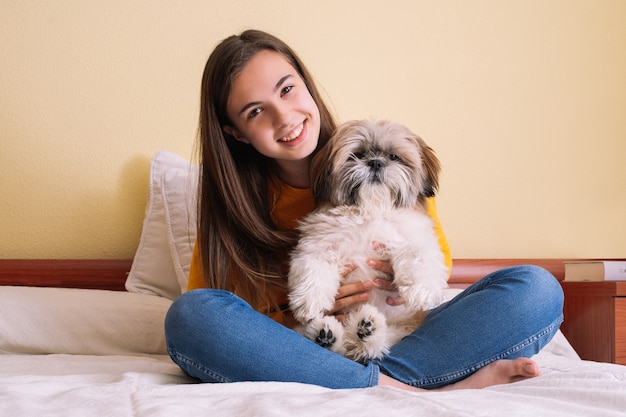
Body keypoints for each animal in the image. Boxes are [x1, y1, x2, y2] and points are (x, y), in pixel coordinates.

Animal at [286, 119, 446, 360]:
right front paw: (310, 301)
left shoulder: (413, 235)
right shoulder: (319, 243)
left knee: (374, 345)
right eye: (358, 155)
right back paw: (326, 334)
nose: (376, 163)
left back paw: (366, 330)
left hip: (399, 331)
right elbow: (313, 268)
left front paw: (422, 292)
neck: (370, 210)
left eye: (393, 157)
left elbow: (420, 256)